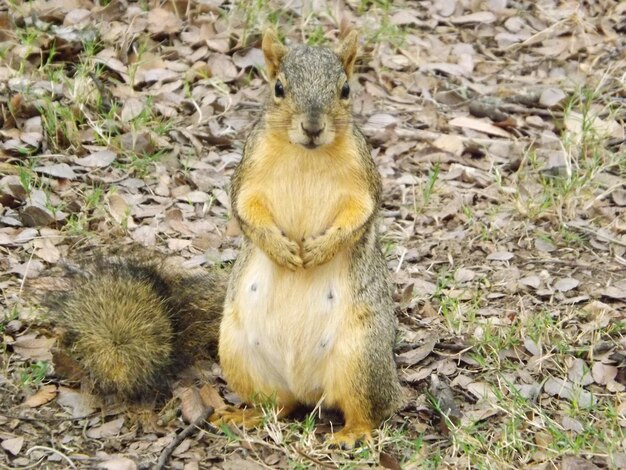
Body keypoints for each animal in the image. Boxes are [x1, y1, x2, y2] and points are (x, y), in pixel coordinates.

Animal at [50, 28, 400, 448]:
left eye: (345, 89)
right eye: (278, 88)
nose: (313, 127)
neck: (306, 155)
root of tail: (306, 387)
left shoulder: (364, 179)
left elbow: (360, 215)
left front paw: (319, 249)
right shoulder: (249, 173)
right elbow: (244, 208)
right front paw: (281, 248)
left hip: (362, 358)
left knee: (371, 410)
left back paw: (353, 432)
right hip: (238, 352)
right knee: (279, 406)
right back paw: (246, 416)